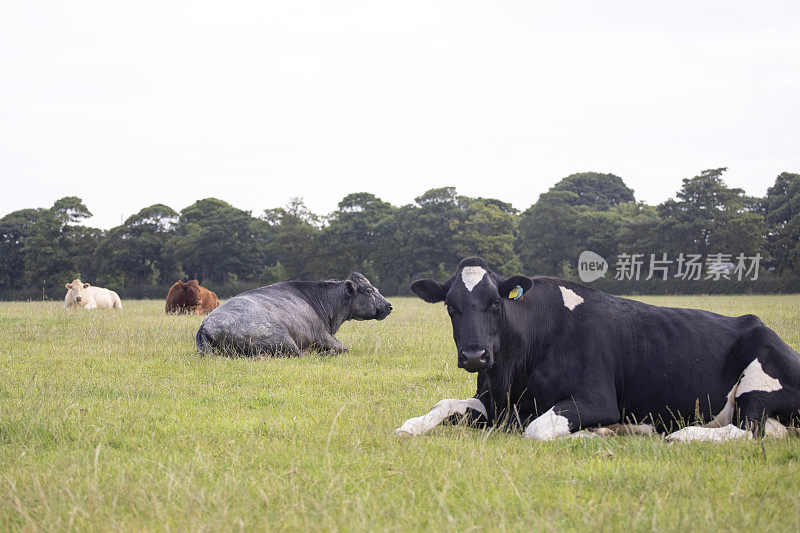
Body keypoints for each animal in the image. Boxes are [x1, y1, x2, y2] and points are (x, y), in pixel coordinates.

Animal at [195, 272, 392, 356]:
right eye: (368, 291)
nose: (389, 306)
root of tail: (206, 325)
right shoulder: (323, 335)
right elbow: (344, 348)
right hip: (283, 339)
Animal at [396, 258, 800, 440]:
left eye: (496, 303)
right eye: (450, 306)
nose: (475, 355)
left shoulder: (597, 399)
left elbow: (537, 428)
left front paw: (595, 433)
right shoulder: (494, 402)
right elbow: (443, 404)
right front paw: (410, 425)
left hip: (758, 380)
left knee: (749, 430)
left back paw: (681, 436)